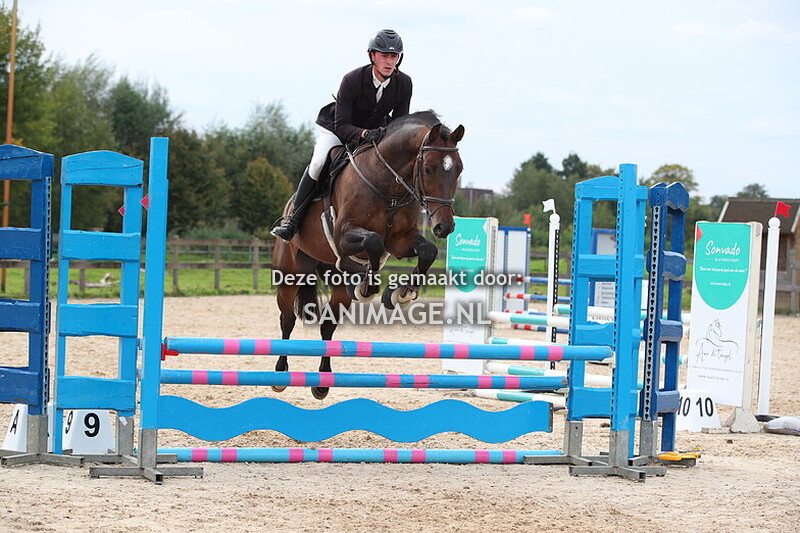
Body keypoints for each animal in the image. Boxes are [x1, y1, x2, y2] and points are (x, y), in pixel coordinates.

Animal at [272, 110, 465, 399]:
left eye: (459, 169)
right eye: (428, 169)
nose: (445, 227)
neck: (388, 185)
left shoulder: (400, 241)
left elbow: (427, 251)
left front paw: (401, 293)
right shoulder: (344, 235)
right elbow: (373, 241)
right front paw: (369, 287)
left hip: (335, 283)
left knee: (327, 325)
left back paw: (322, 382)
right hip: (289, 275)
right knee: (288, 319)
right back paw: (280, 373)